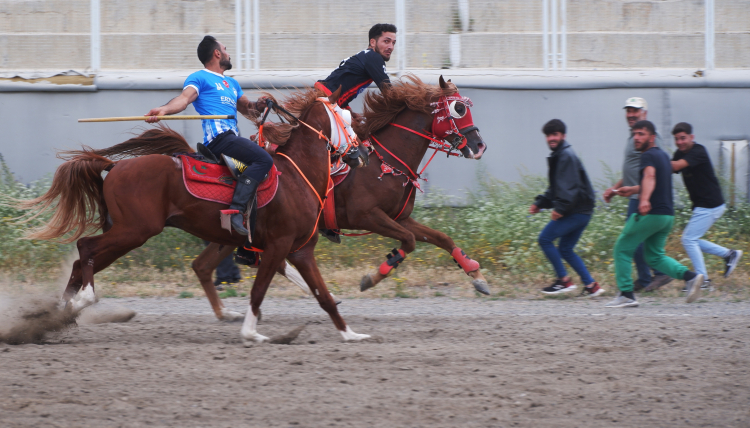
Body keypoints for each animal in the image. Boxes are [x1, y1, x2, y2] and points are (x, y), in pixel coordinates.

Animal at [16, 90, 370, 344]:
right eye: (349, 118)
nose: (363, 152)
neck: (296, 176)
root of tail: (115, 166)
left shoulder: (300, 250)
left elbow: (323, 295)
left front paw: (351, 334)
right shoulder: (277, 247)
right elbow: (259, 291)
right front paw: (251, 332)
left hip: (125, 234)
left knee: (82, 261)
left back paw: (61, 313)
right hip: (134, 231)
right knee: (85, 248)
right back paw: (81, 301)